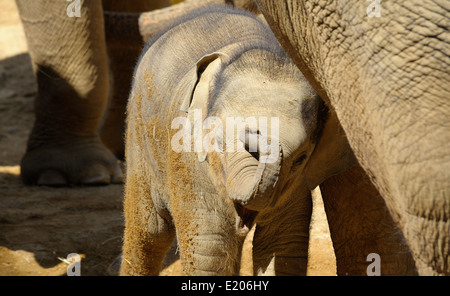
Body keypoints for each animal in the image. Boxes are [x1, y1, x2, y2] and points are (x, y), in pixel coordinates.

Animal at [121, 4, 336, 276]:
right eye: (220, 142)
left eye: (300, 159)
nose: (256, 133)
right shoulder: (188, 160)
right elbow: (209, 248)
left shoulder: (296, 184)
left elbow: (282, 243)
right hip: (139, 135)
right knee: (149, 231)